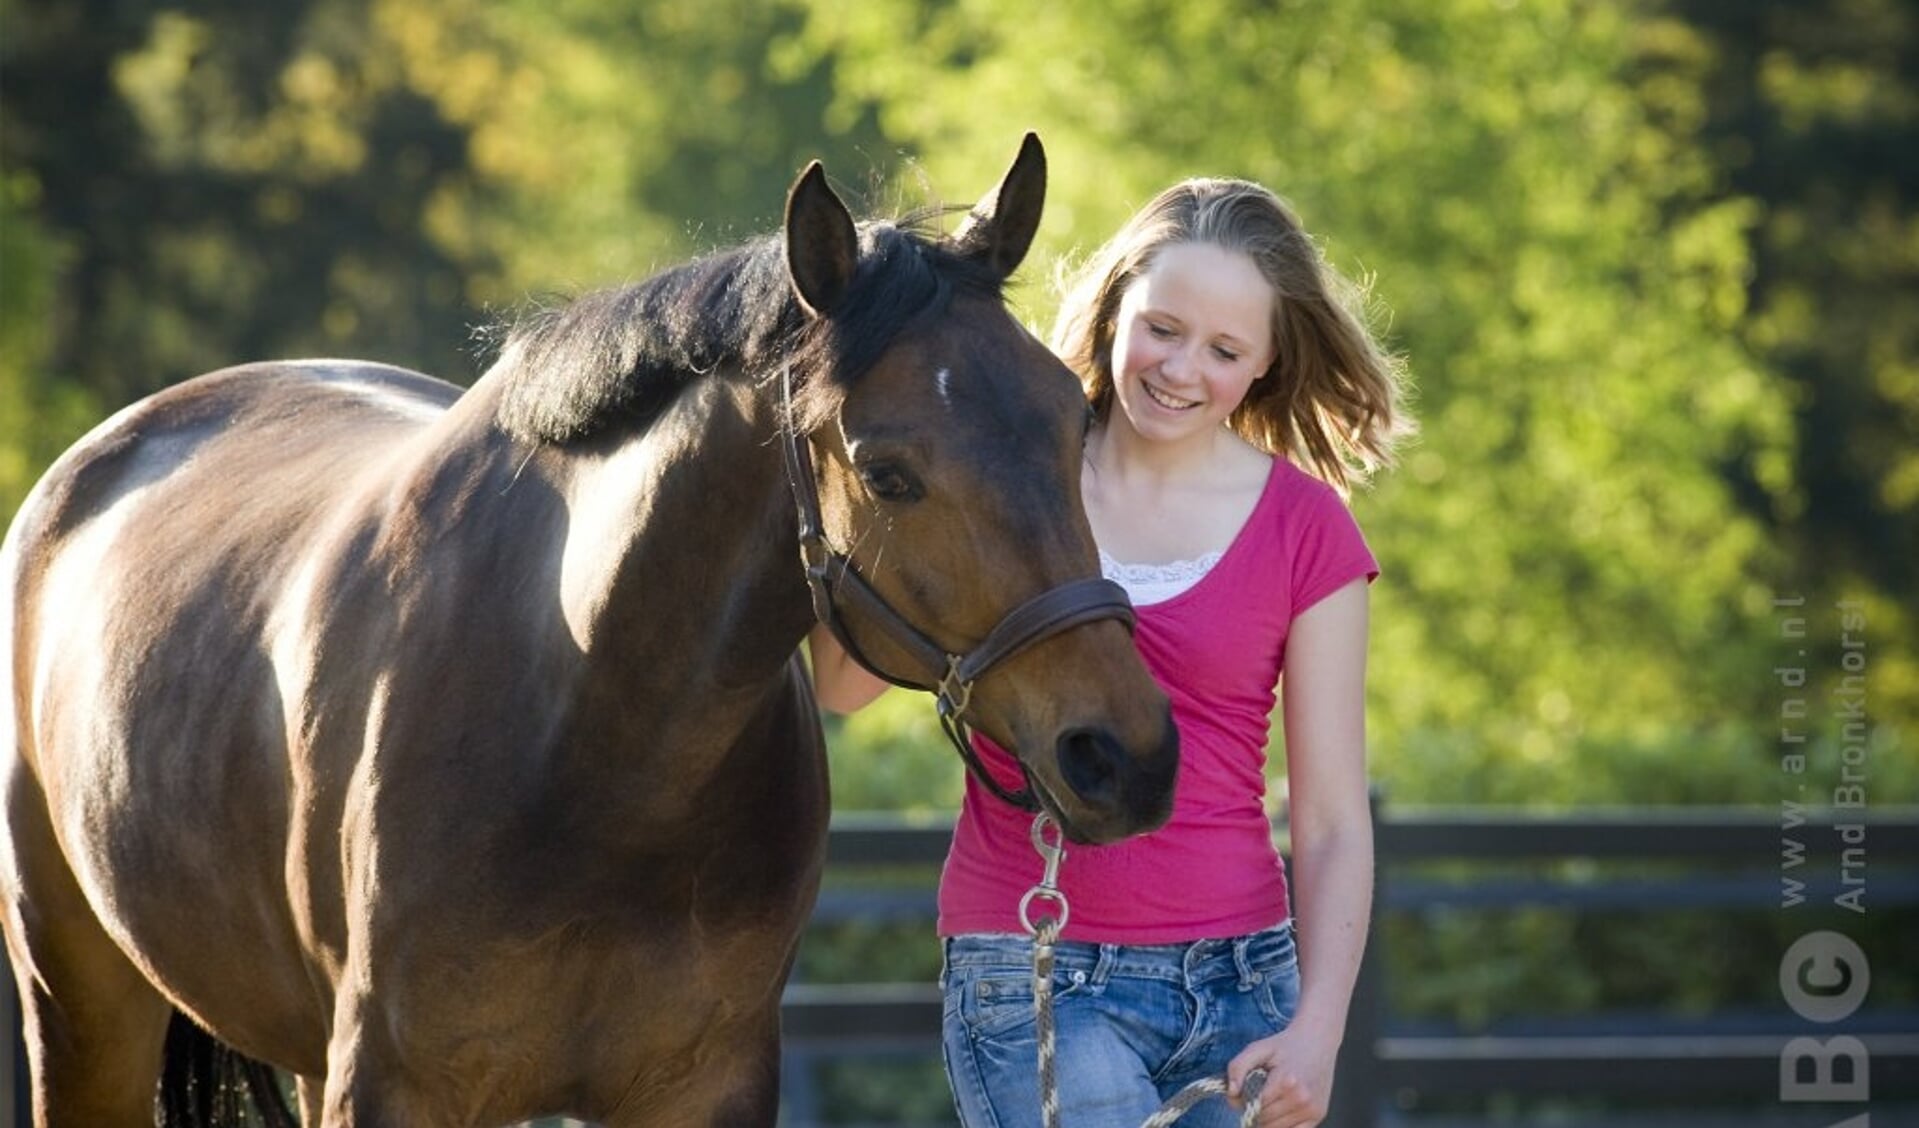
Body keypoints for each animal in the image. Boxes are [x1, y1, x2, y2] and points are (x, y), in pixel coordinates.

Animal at [0, 139, 1174, 1128]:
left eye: (1075, 419)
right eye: (888, 473)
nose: (1123, 757)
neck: (587, 729)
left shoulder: (702, 1089)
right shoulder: (392, 1086)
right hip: (83, 1007)